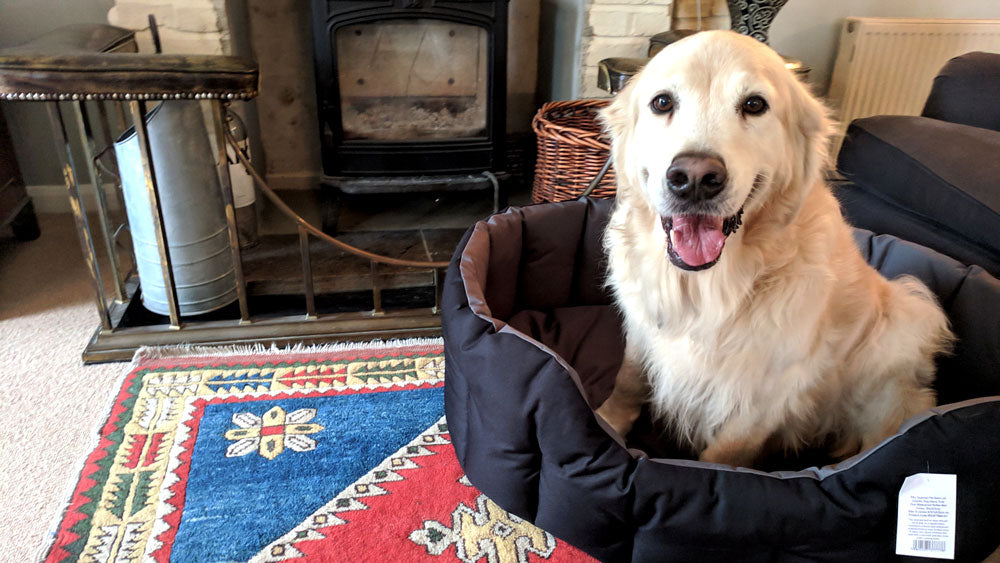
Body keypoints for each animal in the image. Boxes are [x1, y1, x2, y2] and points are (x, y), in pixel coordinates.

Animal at [592, 32, 952, 472]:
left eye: (754, 105)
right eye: (662, 102)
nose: (694, 178)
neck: (708, 283)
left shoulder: (767, 390)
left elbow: (726, 452)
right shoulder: (643, 328)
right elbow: (628, 379)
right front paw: (606, 424)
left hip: (903, 323)